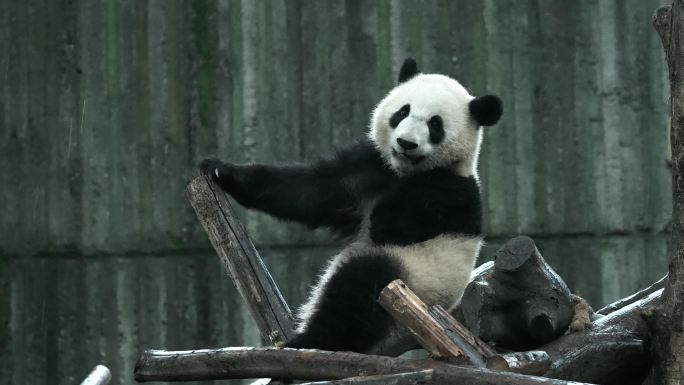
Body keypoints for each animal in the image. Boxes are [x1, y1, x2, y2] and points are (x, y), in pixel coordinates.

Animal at [199, 58, 502, 356]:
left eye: (435, 125)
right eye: (402, 112)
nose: (405, 143)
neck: (402, 171)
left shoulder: (450, 190)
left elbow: (395, 223)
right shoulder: (366, 166)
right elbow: (309, 191)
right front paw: (220, 170)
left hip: (414, 289)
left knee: (361, 287)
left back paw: (309, 340)